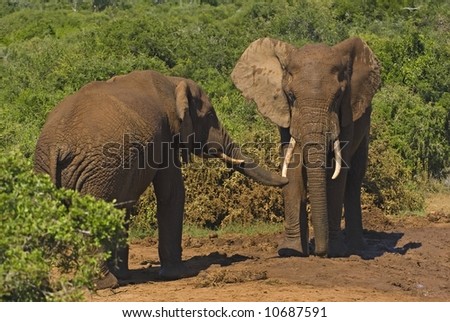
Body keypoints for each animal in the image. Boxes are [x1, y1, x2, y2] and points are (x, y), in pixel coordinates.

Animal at [34, 69, 288, 288]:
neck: (173, 82)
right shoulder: (165, 136)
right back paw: (105, 284)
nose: (286, 179)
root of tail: (57, 144)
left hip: (52, 170)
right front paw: (176, 274)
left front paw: (125, 274)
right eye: (210, 116)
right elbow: (171, 192)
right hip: (99, 169)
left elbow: (126, 205)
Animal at [230, 37, 382, 256]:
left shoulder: (347, 115)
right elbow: (292, 166)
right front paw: (291, 251)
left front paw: (336, 251)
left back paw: (356, 247)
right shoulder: (286, 117)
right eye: (291, 96)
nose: (319, 251)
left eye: (338, 97)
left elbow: (337, 174)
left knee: (354, 180)